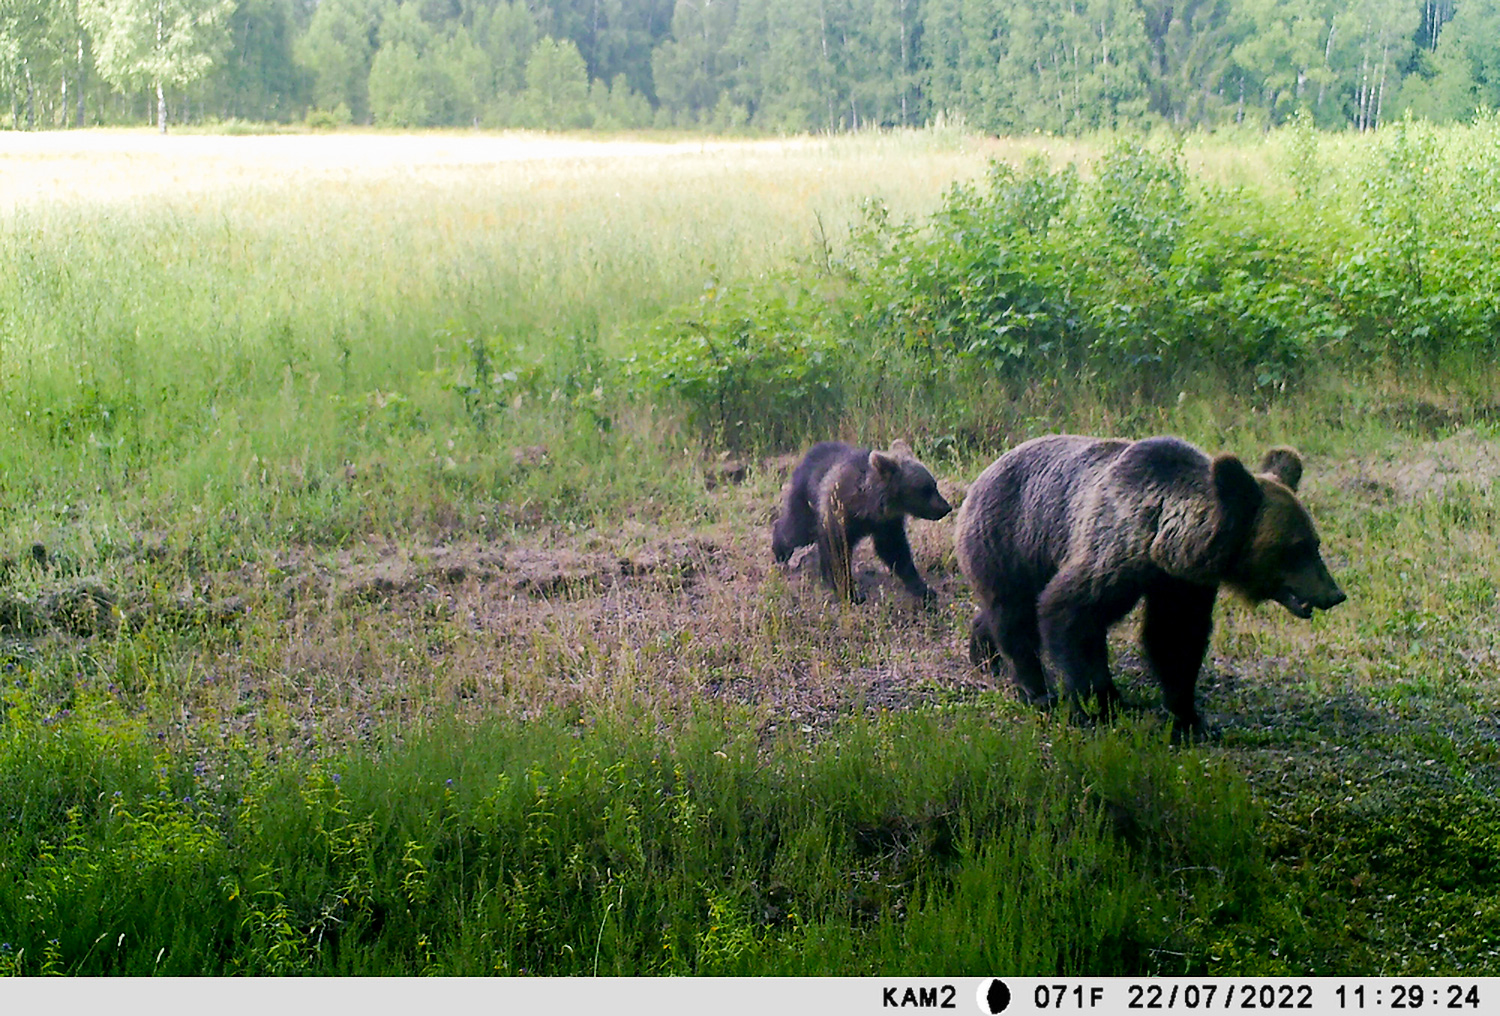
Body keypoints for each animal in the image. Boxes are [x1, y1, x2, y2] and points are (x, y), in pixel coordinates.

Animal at [774, 438, 948, 603]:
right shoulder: (839, 513)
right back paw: (780, 551)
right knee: (796, 530)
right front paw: (850, 592)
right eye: (925, 490)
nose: (946, 507)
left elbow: (895, 550)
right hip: (806, 499)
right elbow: (836, 552)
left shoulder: (887, 524)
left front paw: (924, 589)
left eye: (934, 485)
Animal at [960, 432, 1350, 732]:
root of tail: (982, 476)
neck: (1160, 542)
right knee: (1014, 613)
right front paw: (1100, 703)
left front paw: (1188, 717)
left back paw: (985, 653)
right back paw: (1035, 688)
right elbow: (1071, 612)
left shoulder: (1181, 582)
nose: (1334, 594)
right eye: (1296, 548)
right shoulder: (1112, 550)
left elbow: (1175, 636)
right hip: (1012, 538)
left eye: (1315, 542)